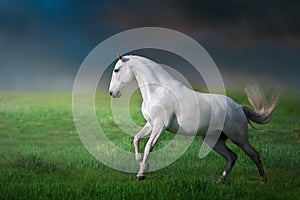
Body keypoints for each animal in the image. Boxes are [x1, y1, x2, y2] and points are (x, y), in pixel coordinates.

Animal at [109, 54, 280, 183]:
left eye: (117, 69)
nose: (112, 93)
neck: (158, 90)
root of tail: (239, 107)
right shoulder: (151, 124)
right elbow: (137, 139)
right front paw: (143, 166)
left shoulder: (160, 126)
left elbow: (148, 146)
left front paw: (141, 175)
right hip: (214, 141)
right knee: (232, 157)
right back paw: (221, 180)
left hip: (239, 138)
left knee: (254, 154)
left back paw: (263, 179)